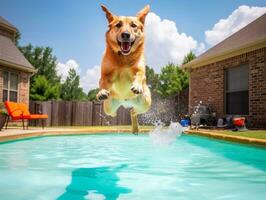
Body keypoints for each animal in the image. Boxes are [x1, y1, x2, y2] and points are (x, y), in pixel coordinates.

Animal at [96, 4, 152, 133]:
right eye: (118, 25)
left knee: (133, 111)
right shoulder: (105, 74)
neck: (124, 58)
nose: (125, 34)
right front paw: (101, 92)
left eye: (133, 25)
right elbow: (102, 81)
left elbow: (140, 75)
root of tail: (125, 101)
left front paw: (137, 86)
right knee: (114, 113)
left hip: (145, 103)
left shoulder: (140, 70)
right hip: (108, 107)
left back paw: (135, 128)